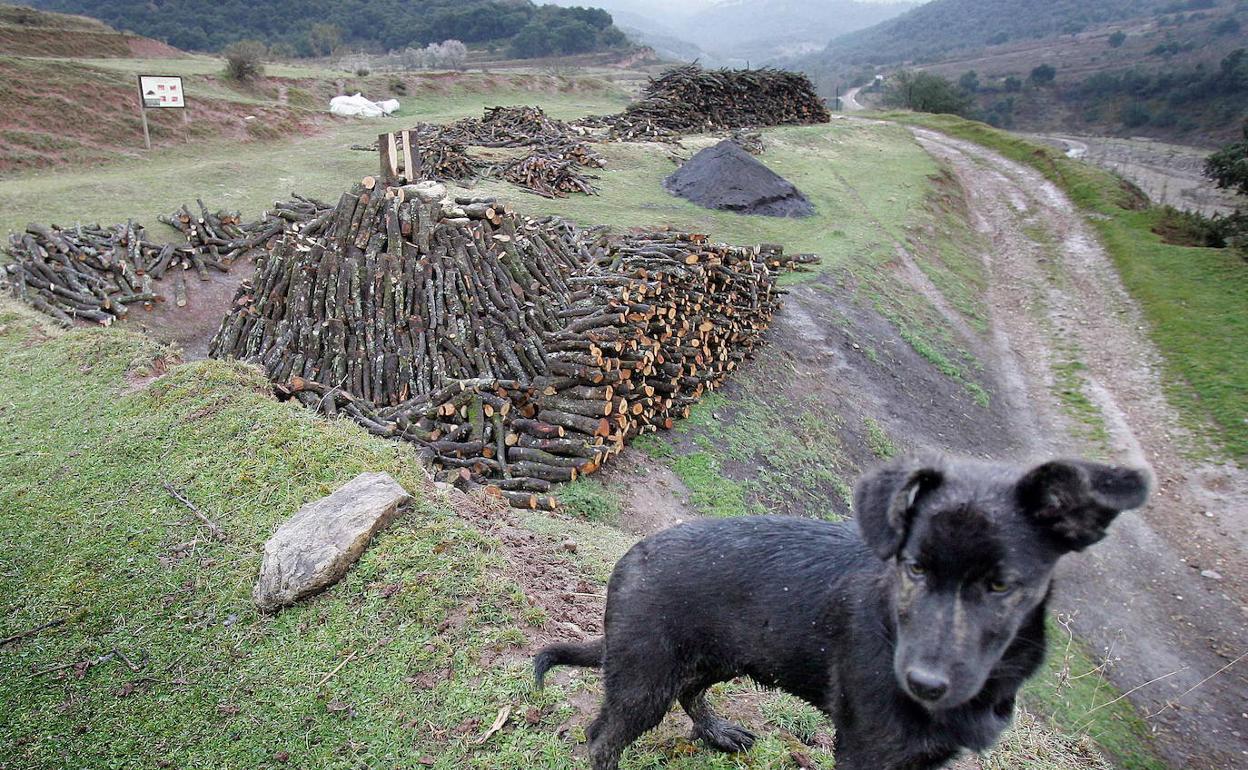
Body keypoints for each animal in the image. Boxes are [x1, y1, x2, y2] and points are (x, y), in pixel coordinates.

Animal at [536, 454, 1148, 763]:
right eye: (913, 568)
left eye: (1001, 584)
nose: (923, 683)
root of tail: (630, 556)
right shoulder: (869, 748)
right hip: (646, 679)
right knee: (602, 737)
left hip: (720, 655)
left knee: (691, 692)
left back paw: (717, 732)